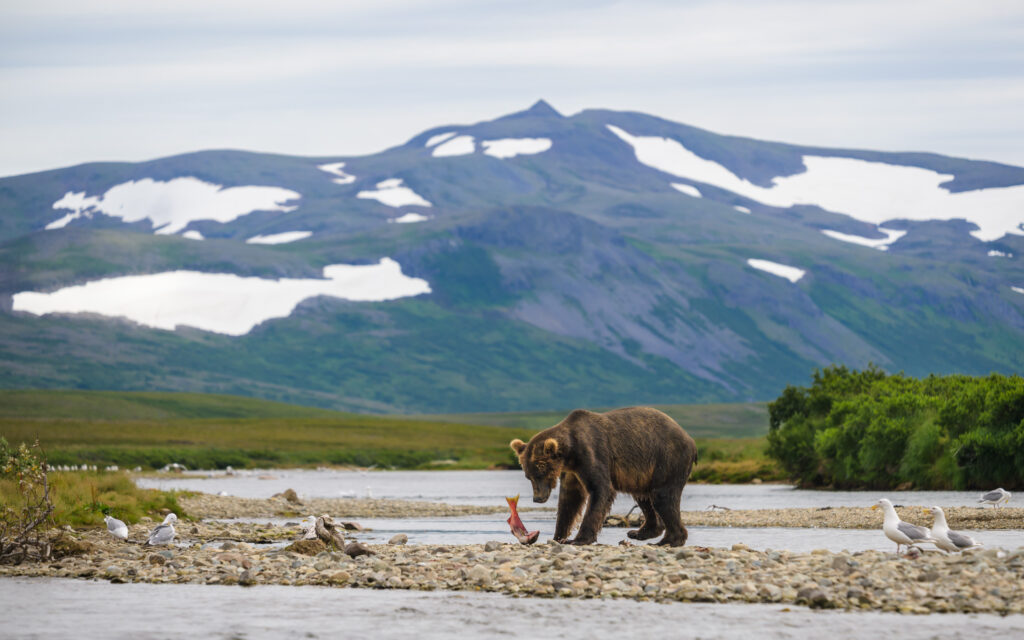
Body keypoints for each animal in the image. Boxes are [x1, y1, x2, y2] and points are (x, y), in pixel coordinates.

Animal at [510, 406, 697, 546]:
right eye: (528, 476)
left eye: (541, 472)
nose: (537, 498)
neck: (570, 453)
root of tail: (691, 441)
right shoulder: (571, 471)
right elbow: (569, 500)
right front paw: (558, 537)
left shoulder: (591, 453)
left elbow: (600, 489)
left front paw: (578, 539)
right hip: (642, 473)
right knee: (643, 496)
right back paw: (640, 532)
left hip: (667, 459)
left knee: (662, 496)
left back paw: (669, 540)